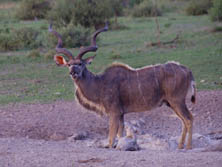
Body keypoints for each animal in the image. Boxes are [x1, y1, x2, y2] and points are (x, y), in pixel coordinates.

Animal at [49, 23, 196, 149]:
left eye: (80, 64)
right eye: (69, 64)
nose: (72, 72)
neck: (100, 83)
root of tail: (187, 70)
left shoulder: (114, 112)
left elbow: (111, 140)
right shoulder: (121, 114)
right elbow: (120, 135)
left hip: (177, 101)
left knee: (189, 118)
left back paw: (188, 147)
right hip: (171, 103)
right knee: (184, 120)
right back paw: (180, 146)